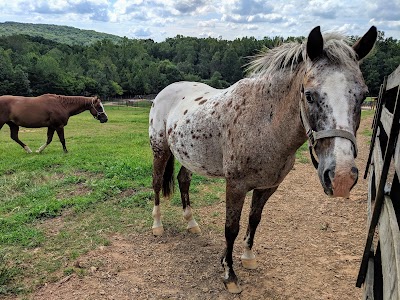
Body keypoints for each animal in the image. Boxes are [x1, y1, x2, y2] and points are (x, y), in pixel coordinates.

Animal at [148, 25, 376, 292]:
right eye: (309, 95)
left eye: (363, 96)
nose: (340, 177)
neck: (263, 123)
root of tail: (166, 91)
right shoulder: (235, 186)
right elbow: (231, 228)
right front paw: (229, 274)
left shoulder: (268, 187)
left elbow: (254, 220)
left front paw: (247, 257)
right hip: (160, 150)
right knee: (156, 184)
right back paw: (157, 226)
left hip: (190, 157)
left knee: (183, 181)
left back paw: (191, 223)